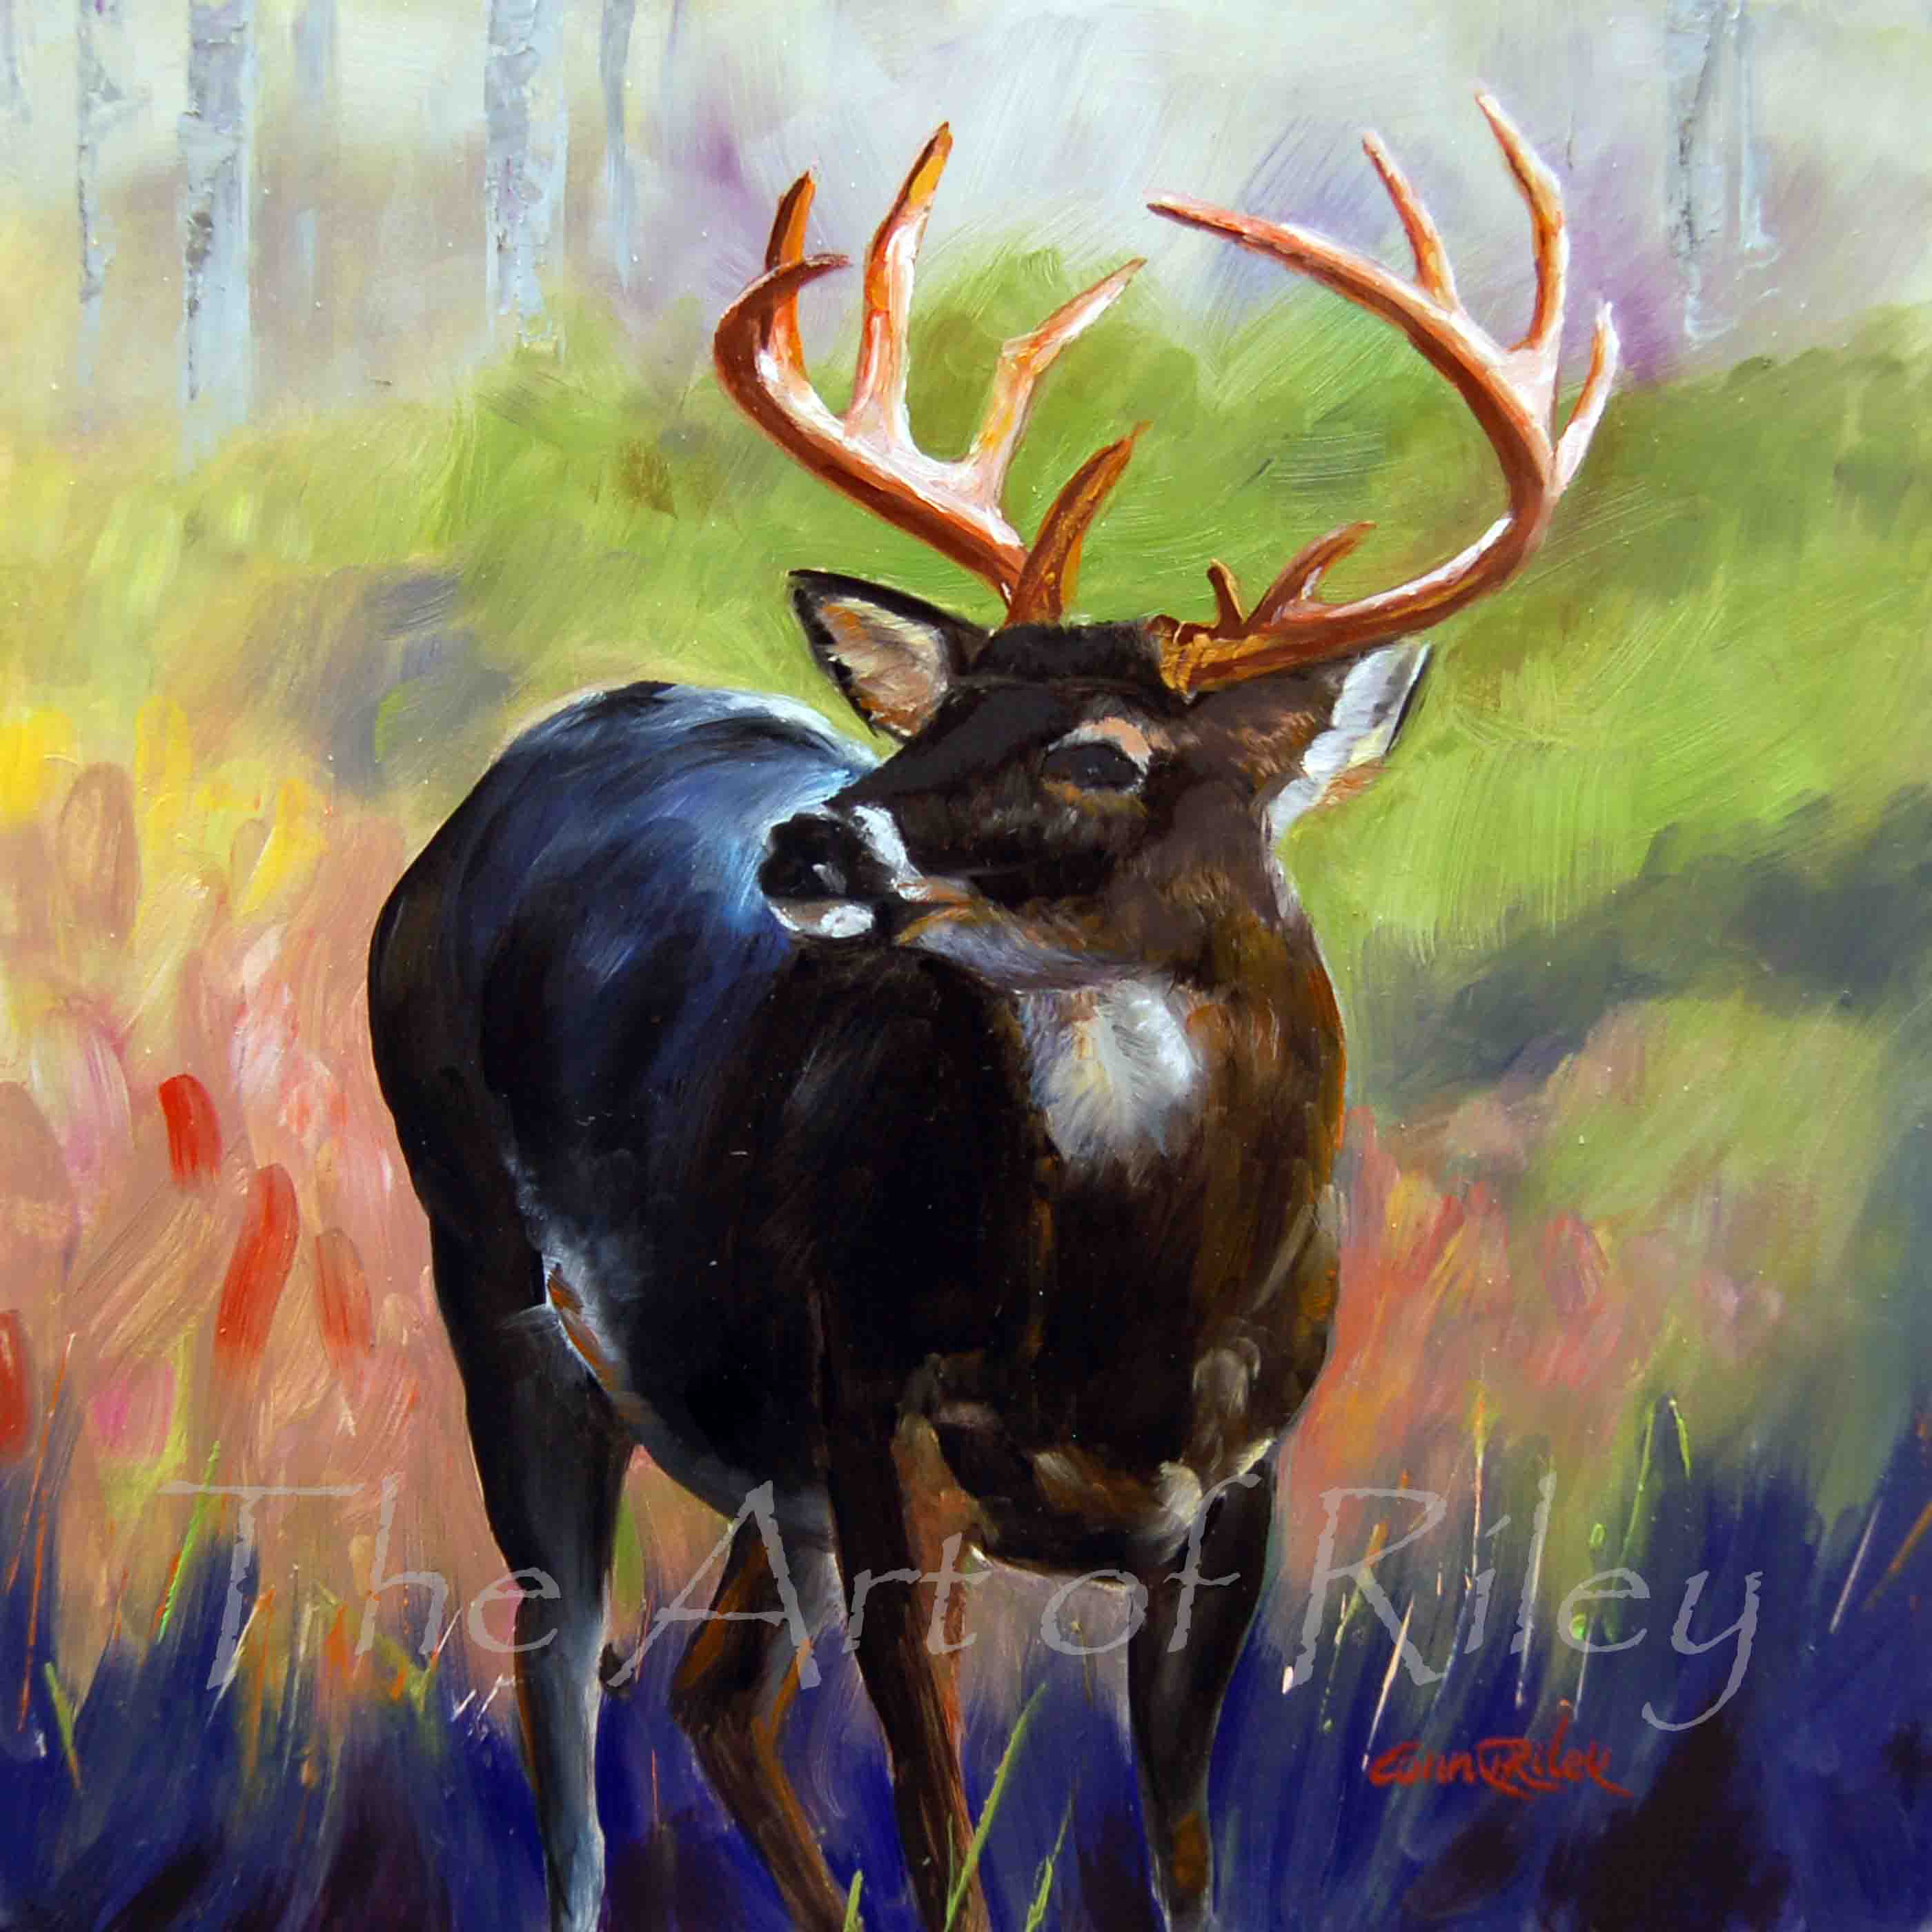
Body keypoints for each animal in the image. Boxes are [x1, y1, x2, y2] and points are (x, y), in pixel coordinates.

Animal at [367, 94, 1614, 1932]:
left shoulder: (1237, 1494)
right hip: (492, 1273)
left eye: (1103, 752)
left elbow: (1179, 1852)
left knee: (708, 1692)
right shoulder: (890, 1447)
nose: (809, 841)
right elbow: (945, 1842)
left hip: (755, 1432)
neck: (1120, 1329)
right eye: (940, 711)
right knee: (561, 1687)